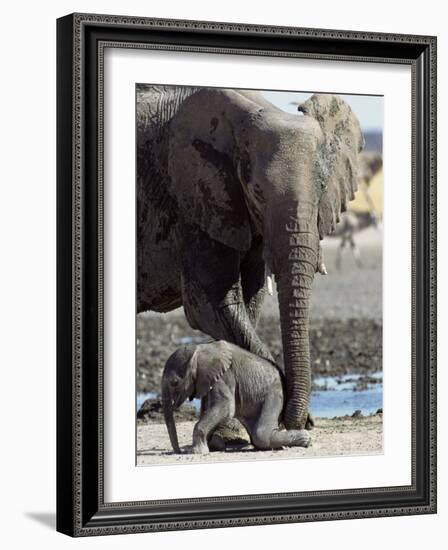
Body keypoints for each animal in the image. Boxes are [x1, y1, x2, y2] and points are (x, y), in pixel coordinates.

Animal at [137, 87, 364, 432]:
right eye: (256, 191)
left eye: (322, 189)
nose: (299, 422)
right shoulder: (195, 202)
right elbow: (212, 304)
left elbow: (250, 301)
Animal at [162, 340, 312, 458]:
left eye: (174, 382)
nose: (178, 451)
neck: (199, 348)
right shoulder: (206, 380)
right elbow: (206, 409)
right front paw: (211, 445)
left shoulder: (224, 376)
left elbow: (226, 407)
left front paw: (197, 451)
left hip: (274, 394)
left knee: (261, 435)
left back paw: (305, 439)